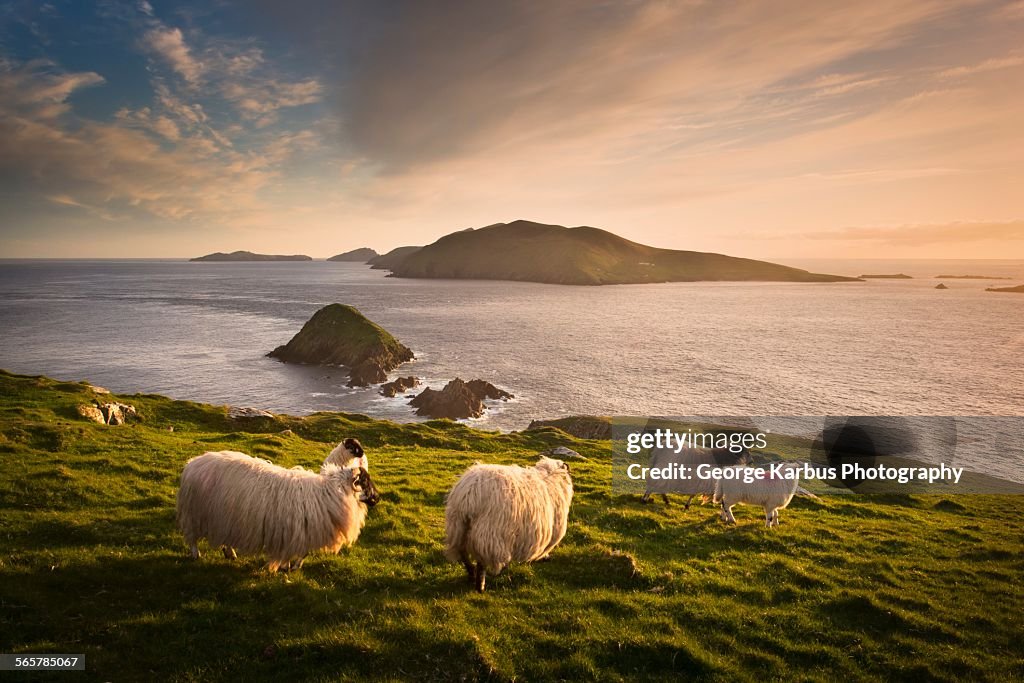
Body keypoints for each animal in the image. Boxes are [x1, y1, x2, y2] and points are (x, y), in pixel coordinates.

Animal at [176, 448, 380, 573]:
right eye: (365, 482)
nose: (378, 498)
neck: (330, 492)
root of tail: (193, 463)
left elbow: (303, 552)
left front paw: (290, 565)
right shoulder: (298, 531)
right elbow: (302, 553)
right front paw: (290, 566)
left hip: (223, 516)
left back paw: (230, 553)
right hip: (196, 513)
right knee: (192, 538)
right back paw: (196, 555)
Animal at [446, 454, 577, 593]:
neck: (553, 480)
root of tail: (470, 493)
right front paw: (545, 556)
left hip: (458, 526)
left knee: (462, 552)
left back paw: (471, 573)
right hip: (490, 531)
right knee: (482, 560)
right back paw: (481, 584)